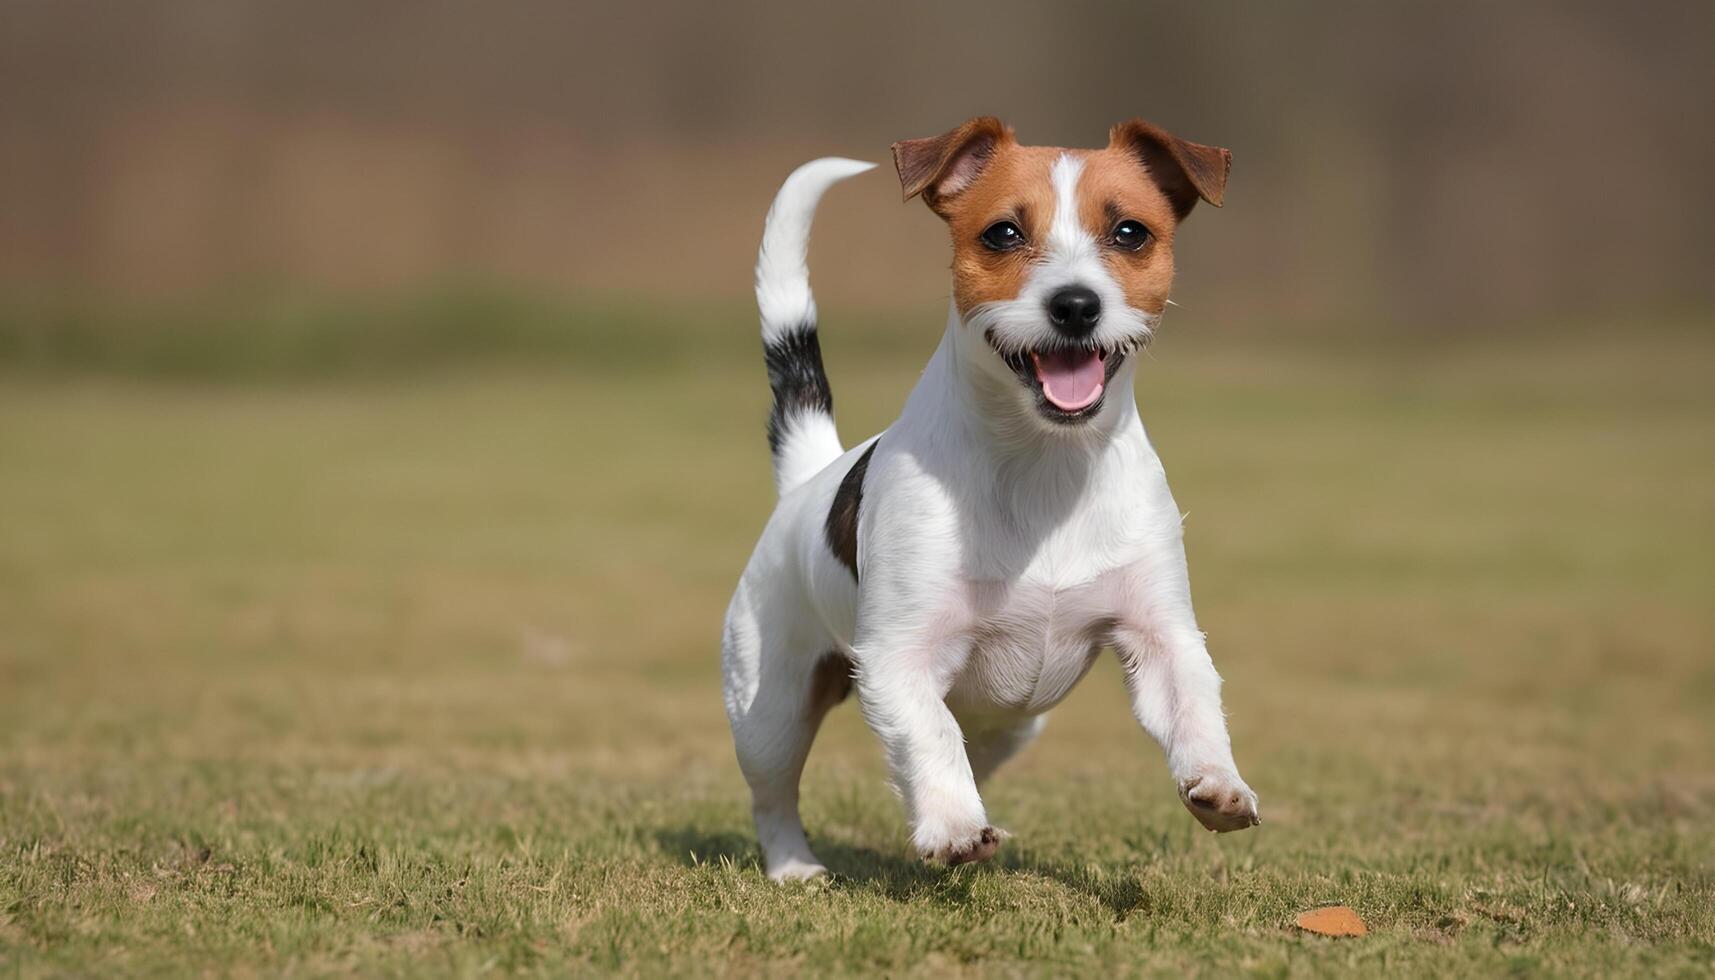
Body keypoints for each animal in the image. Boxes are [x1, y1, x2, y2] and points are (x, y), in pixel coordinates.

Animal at [716, 114, 1255, 878]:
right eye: (1002, 233)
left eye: (1130, 233)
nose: (1075, 305)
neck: (1043, 465)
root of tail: (808, 479)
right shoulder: (899, 656)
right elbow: (930, 735)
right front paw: (950, 827)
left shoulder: (1160, 633)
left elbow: (1193, 705)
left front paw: (1219, 784)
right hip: (771, 705)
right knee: (777, 788)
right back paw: (796, 864)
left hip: (1013, 723)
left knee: (974, 748)